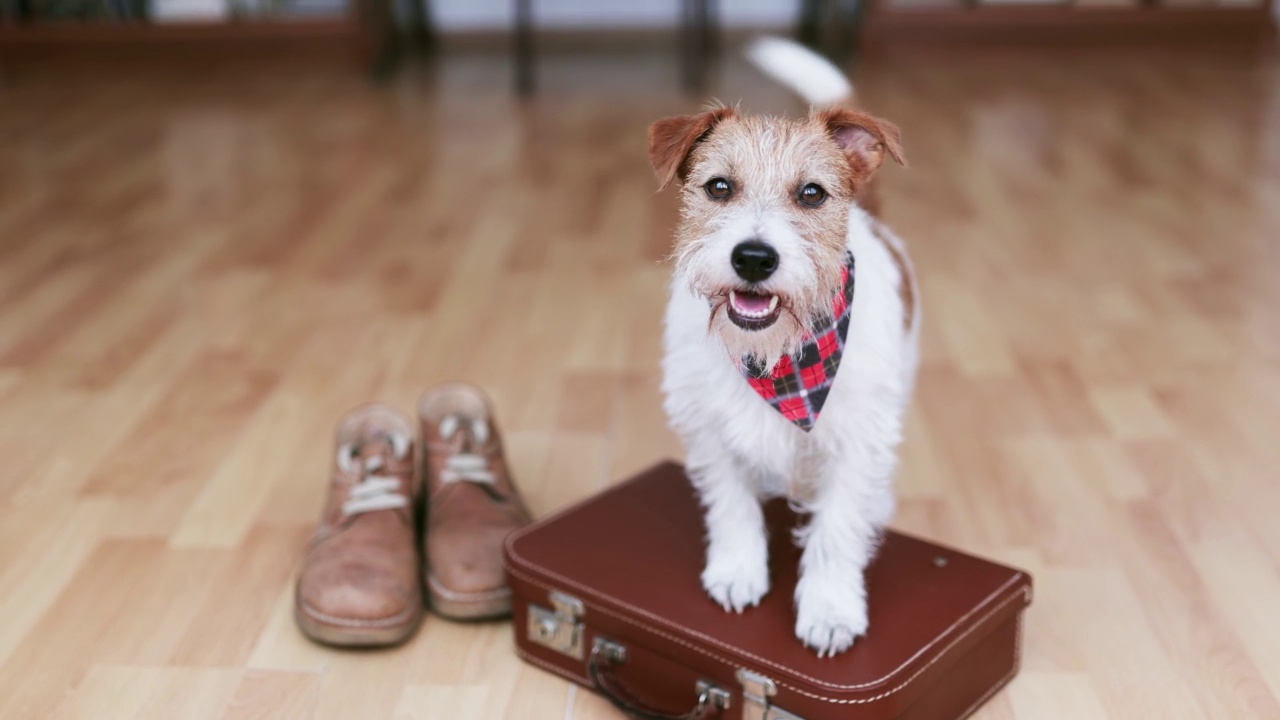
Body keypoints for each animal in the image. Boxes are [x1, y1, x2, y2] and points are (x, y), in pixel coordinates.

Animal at [650, 37, 921, 655]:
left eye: (812, 193)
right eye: (719, 187)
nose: (754, 257)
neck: (778, 358)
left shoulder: (857, 442)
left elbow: (837, 530)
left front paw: (830, 609)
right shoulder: (709, 427)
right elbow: (732, 507)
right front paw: (737, 571)